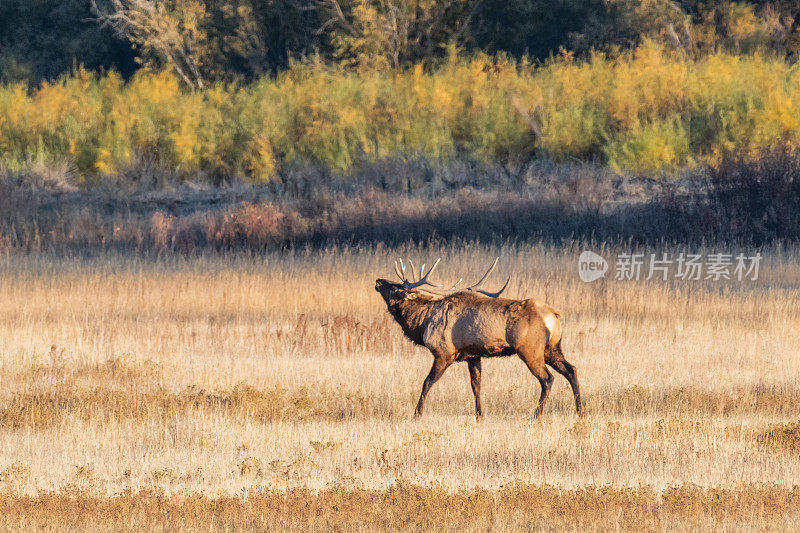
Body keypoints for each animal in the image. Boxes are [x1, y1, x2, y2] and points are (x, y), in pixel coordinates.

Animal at [376, 256, 580, 416]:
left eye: (396, 288)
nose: (378, 280)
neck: (422, 324)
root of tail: (554, 315)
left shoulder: (444, 353)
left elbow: (427, 382)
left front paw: (416, 414)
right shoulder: (473, 355)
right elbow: (476, 386)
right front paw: (479, 415)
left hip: (530, 349)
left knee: (547, 378)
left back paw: (537, 414)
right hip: (552, 348)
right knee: (571, 370)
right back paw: (580, 410)